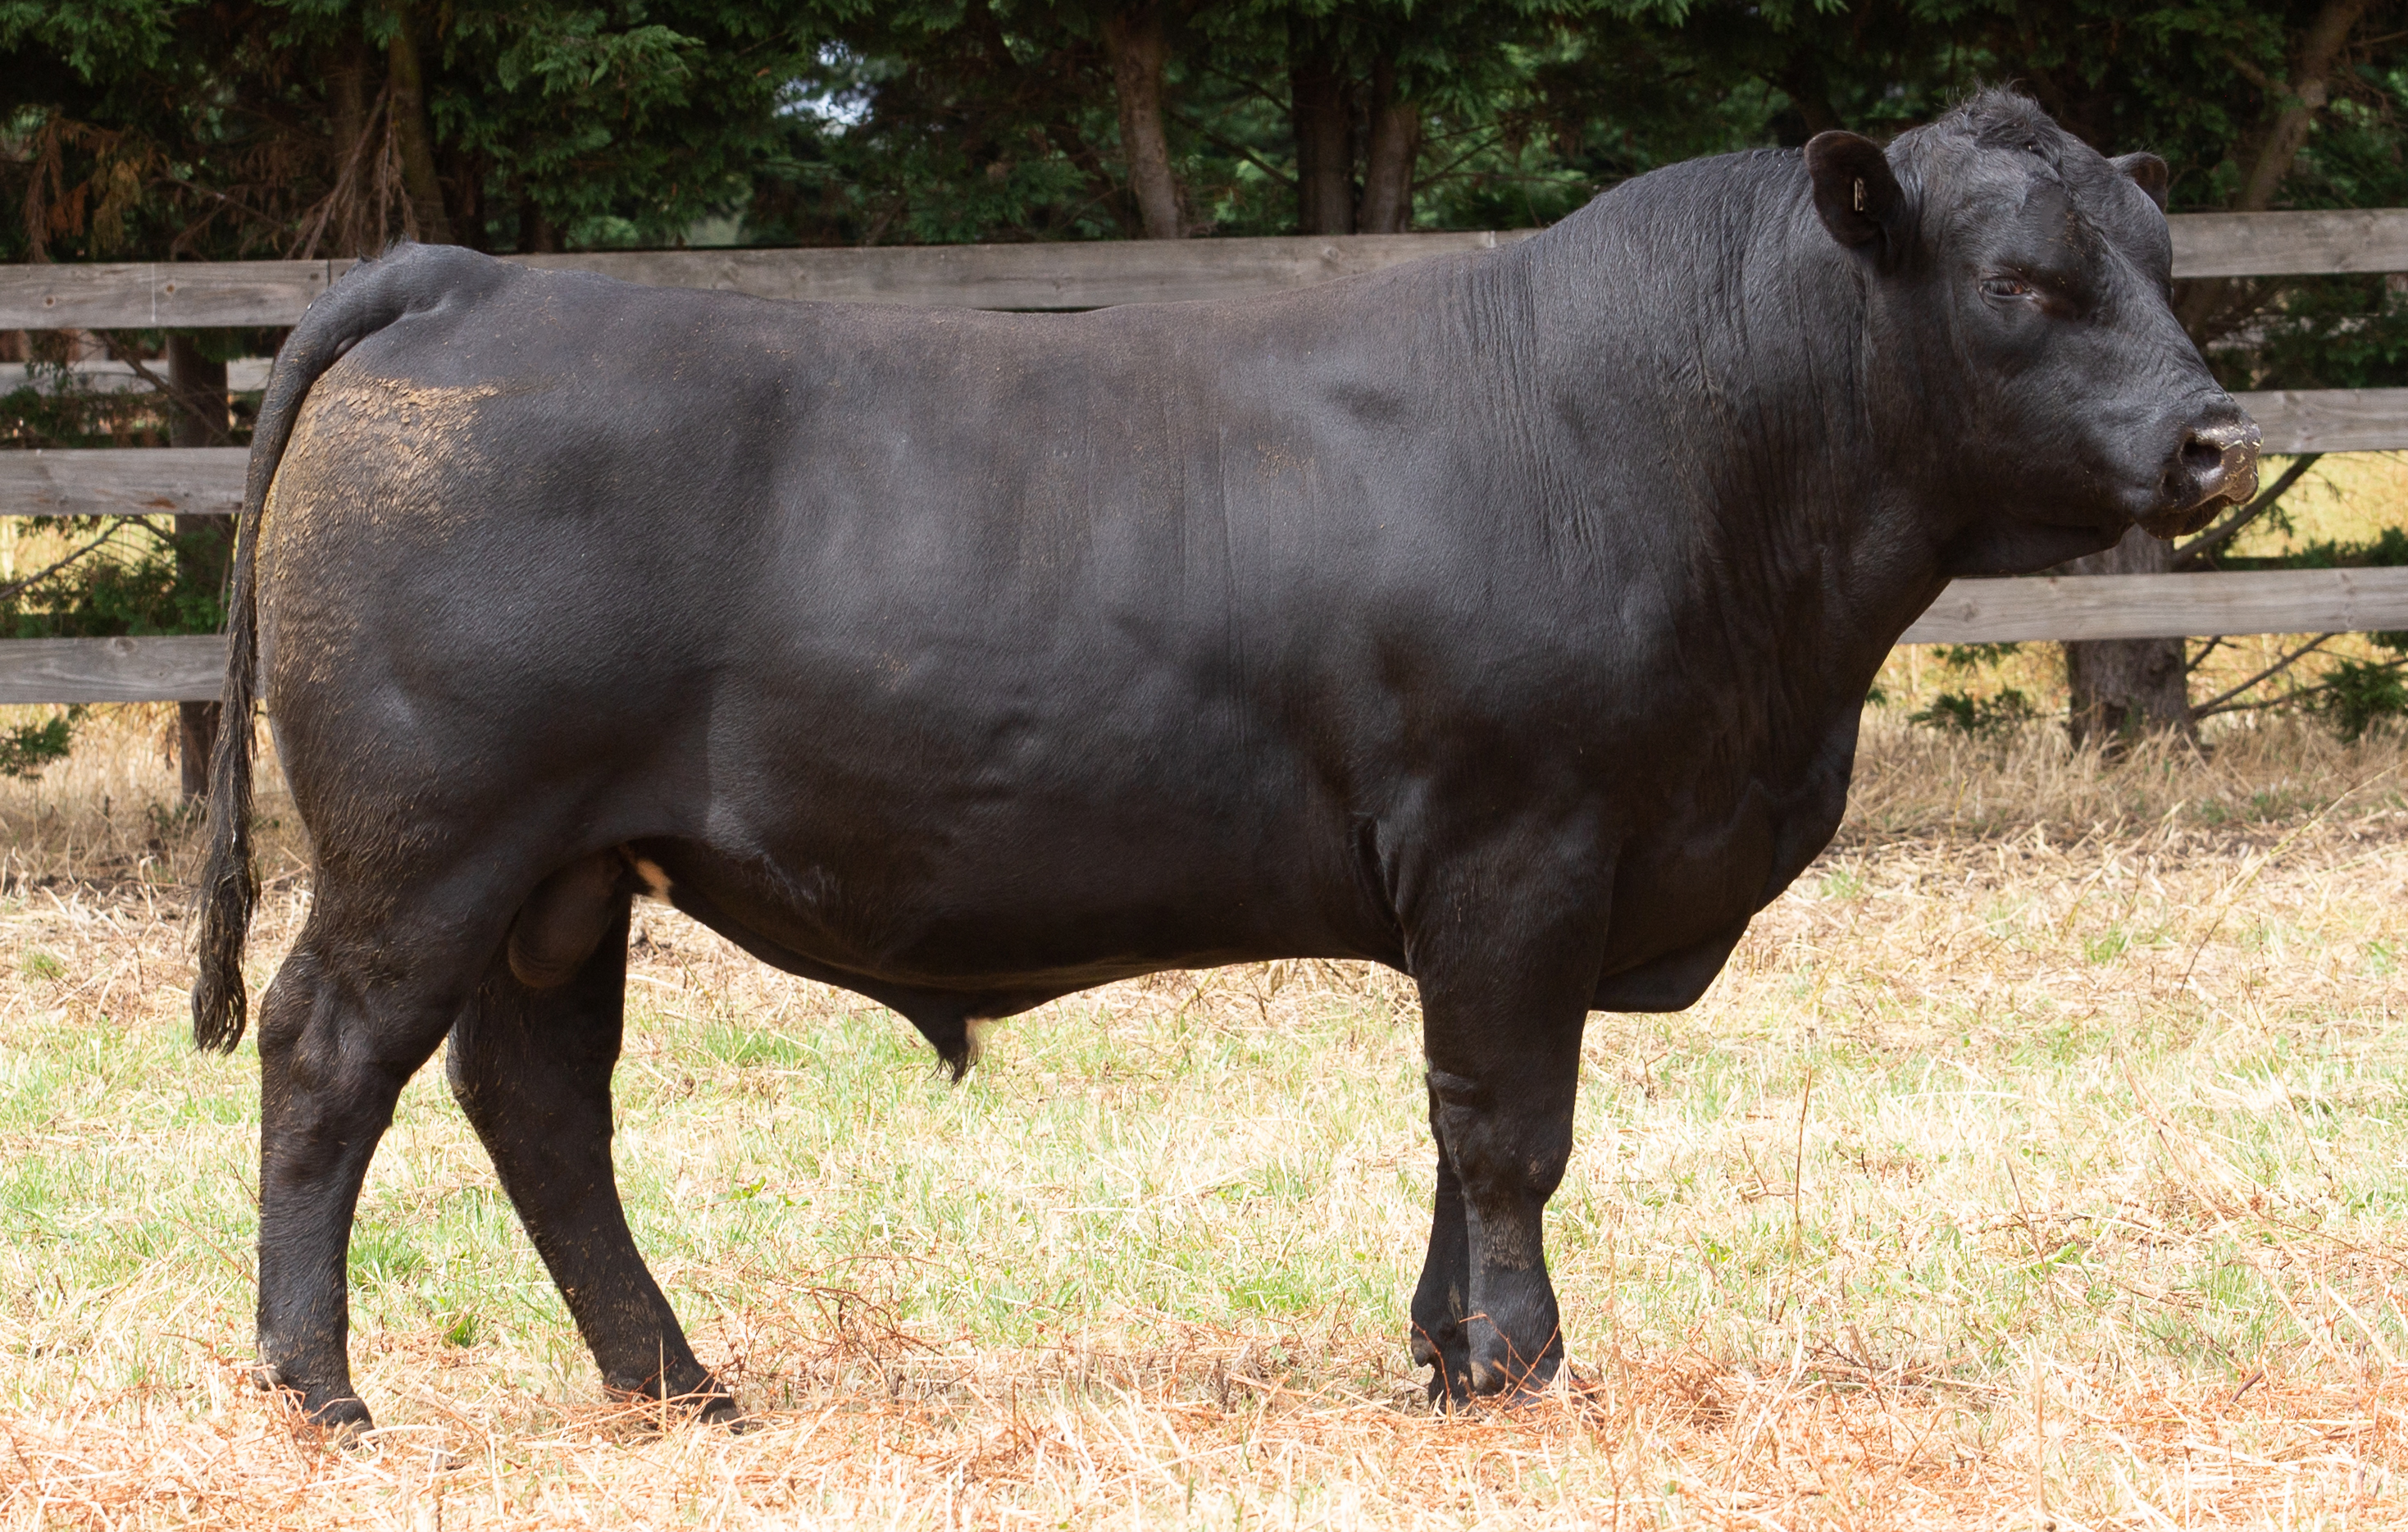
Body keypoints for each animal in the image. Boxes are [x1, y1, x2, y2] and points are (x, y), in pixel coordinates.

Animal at [191, 89, 2257, 1431]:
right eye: (2018, 281)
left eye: (2161, 266)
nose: (2212, 440)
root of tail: (477, 279)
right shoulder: (1519, 842)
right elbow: (1508, 1124)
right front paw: (1521, 1365)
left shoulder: (1506, 889)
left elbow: (1455, 1124)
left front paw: (1443, 1356)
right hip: (425, 842)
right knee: (327, 1059)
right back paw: (319, 1386)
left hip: (557, 875)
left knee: (538, 1102)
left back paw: (677, 1381)